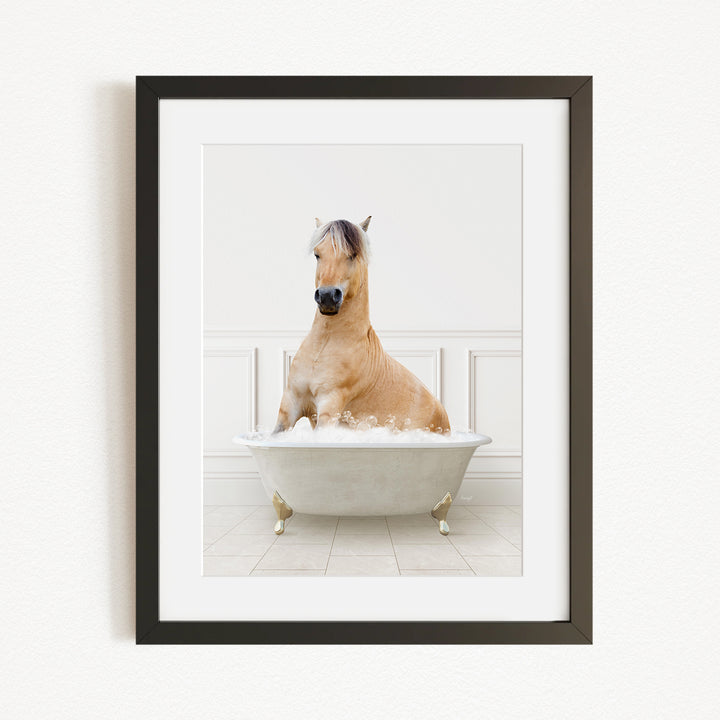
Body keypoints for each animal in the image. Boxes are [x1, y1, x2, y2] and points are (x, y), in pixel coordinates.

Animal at [273, 217, 450, 434]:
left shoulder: (329, 406)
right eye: (317, 254)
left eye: (352, 255)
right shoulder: (290, 404)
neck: (323, 346)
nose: (327, 296)